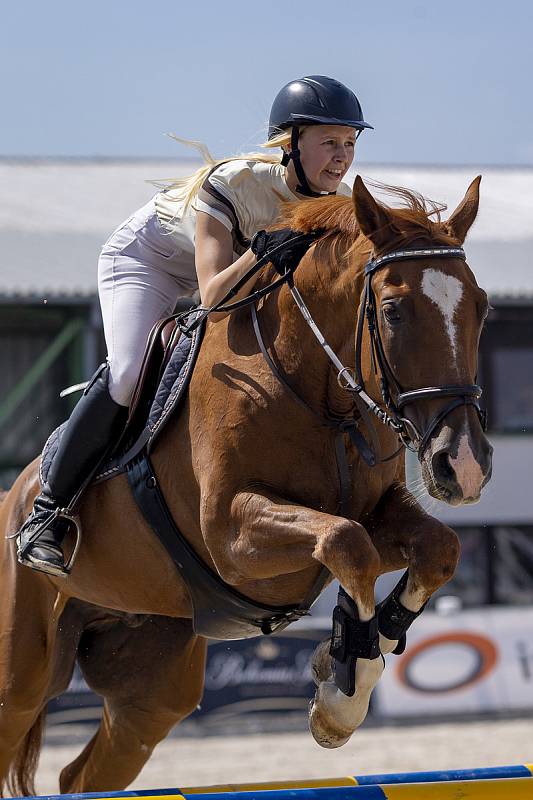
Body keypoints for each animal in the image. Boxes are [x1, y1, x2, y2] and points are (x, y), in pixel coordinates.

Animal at [0, 178, 490, 796]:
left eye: (481, 306)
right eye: (393, 311)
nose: (464, 465)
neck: (319, 394)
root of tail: (12, 498)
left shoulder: (377, 514)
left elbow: (435, 548)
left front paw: (348, 669)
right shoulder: (232, 537)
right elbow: (346, 543)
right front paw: (343, 693)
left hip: (150, 686)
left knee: (85, 771)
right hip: (18, 680)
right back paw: (42, 536)